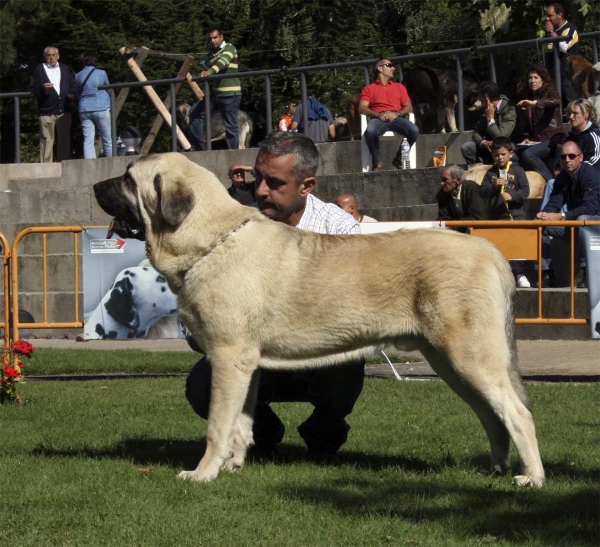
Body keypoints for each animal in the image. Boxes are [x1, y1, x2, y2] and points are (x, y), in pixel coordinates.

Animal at [92, 152, 544, 486]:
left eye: (128, 179)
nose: (95, 185)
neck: (212, 238)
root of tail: (490, 250)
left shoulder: (228, 356)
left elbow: (219, 425)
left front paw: (203, 473)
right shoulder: (244, 364)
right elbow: (241, 421)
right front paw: (234, 466)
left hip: (469, 355)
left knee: (517, 413)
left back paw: (532, 479)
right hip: (449, 361)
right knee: (492, 415)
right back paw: (498, 468)